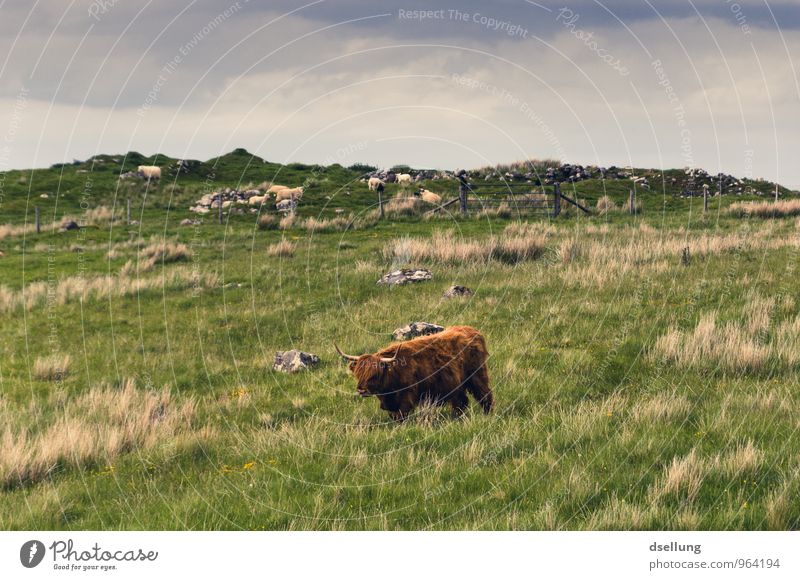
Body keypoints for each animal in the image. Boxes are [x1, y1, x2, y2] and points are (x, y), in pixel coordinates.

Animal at [332, 326, 494, 422]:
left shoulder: (407, 396)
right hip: (457, 385)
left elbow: (401, 415)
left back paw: (488, 415)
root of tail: (473, 331)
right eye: (358, 373)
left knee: (485, 395)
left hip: (477, 376)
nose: (361, 390)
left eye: (375, 374)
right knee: (461, 402)